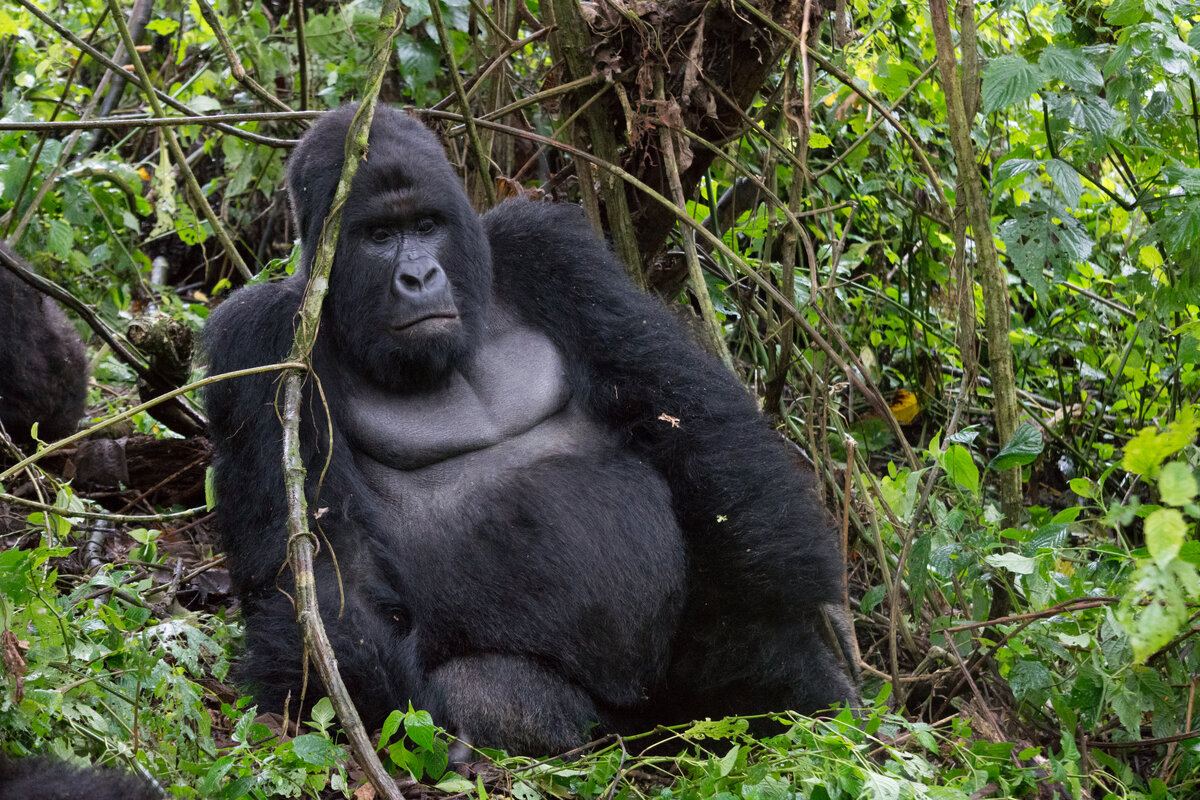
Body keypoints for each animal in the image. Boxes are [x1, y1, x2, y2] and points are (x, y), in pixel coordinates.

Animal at [208, 106, 864, 758]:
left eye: (426, 226)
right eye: (378, 236)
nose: (419, 276)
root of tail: (641, 723)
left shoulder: (548, 247)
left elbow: (688, 421)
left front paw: (777, 621)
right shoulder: (260, 341)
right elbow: (320, 573)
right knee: (487, 692)